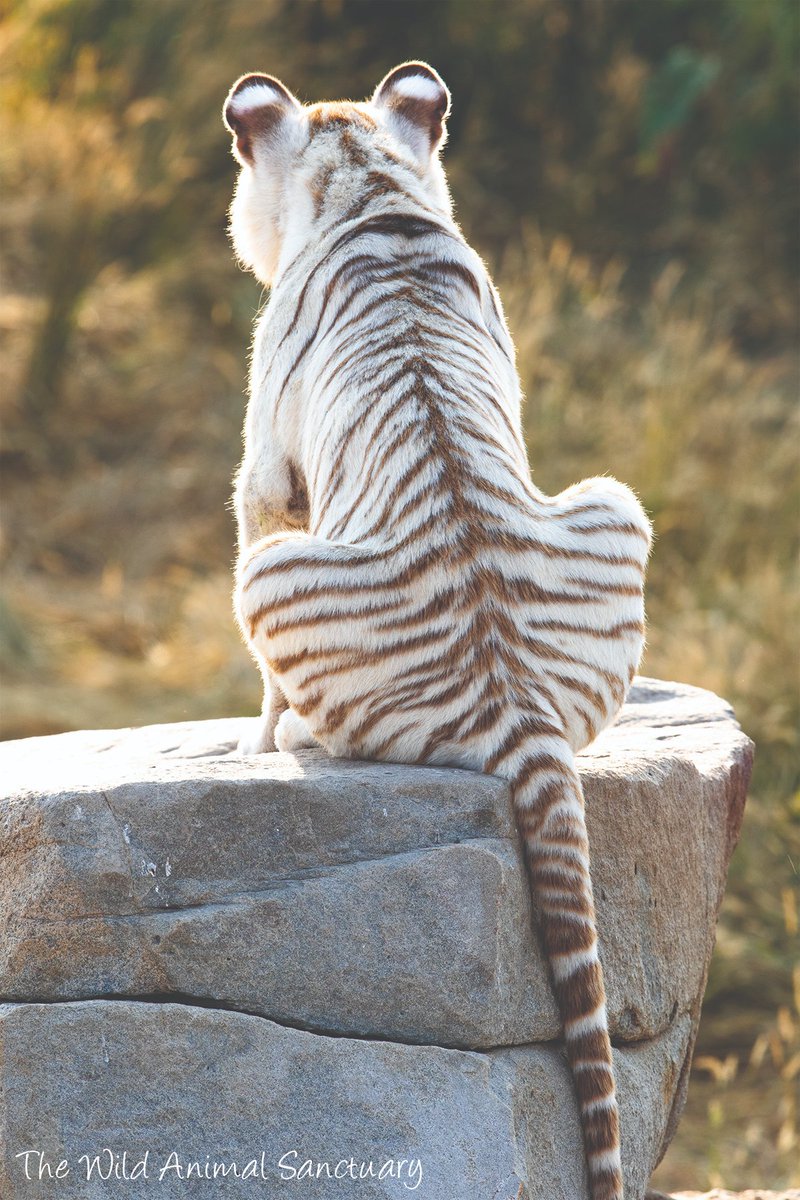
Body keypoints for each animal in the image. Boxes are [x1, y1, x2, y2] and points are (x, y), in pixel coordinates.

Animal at [223, 61, 652, 1200]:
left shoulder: (264, 479)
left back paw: (295, 739)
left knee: (318, 716)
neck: (368, 183)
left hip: (271, 574)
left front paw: (250, 743)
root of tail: (515, 702)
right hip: (616, 499)